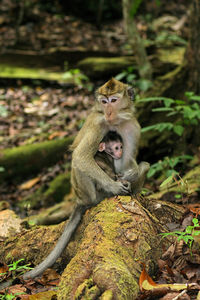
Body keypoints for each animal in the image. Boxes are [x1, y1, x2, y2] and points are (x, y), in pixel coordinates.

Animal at [0, 78, 148, 288]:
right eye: (104, 102)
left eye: (113, 100)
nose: (108, 112)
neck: (116, 121)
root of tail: (79, 198)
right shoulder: (98, 123)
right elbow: (81, 156)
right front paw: (115, 186)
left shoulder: (133, 126)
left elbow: (128, 163)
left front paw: (129, 175)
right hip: (82, 190)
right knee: (78, 163)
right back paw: (98, 198)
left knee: (144, 165)